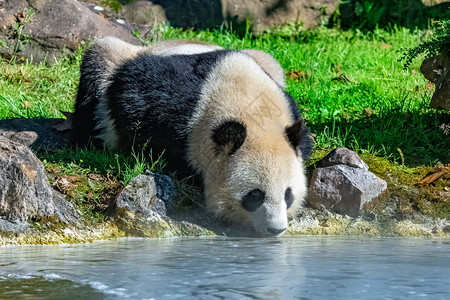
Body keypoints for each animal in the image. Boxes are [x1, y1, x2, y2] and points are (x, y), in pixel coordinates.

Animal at [73, 37, 312, 237]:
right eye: (255, 195)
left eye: (288, 195)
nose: (276, 229)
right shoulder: (163, 101)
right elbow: (132, 107)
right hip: (115, 61)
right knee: (98, 68)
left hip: (268, 61)